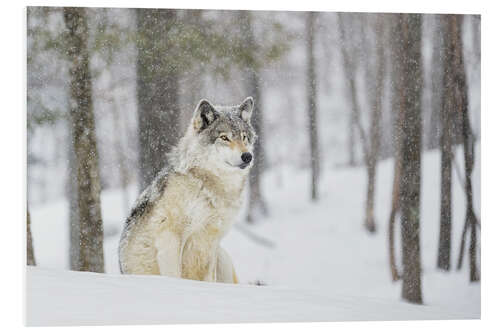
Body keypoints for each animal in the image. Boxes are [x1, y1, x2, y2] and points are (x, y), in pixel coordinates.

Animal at [119, 96, 256, 282]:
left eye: (244, 137)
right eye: (224, 138)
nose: (247, 156)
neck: (208, 186)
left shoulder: (212, 242)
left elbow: (210, 278)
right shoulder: (170, 237)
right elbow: (175, 275)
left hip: (223, 256)